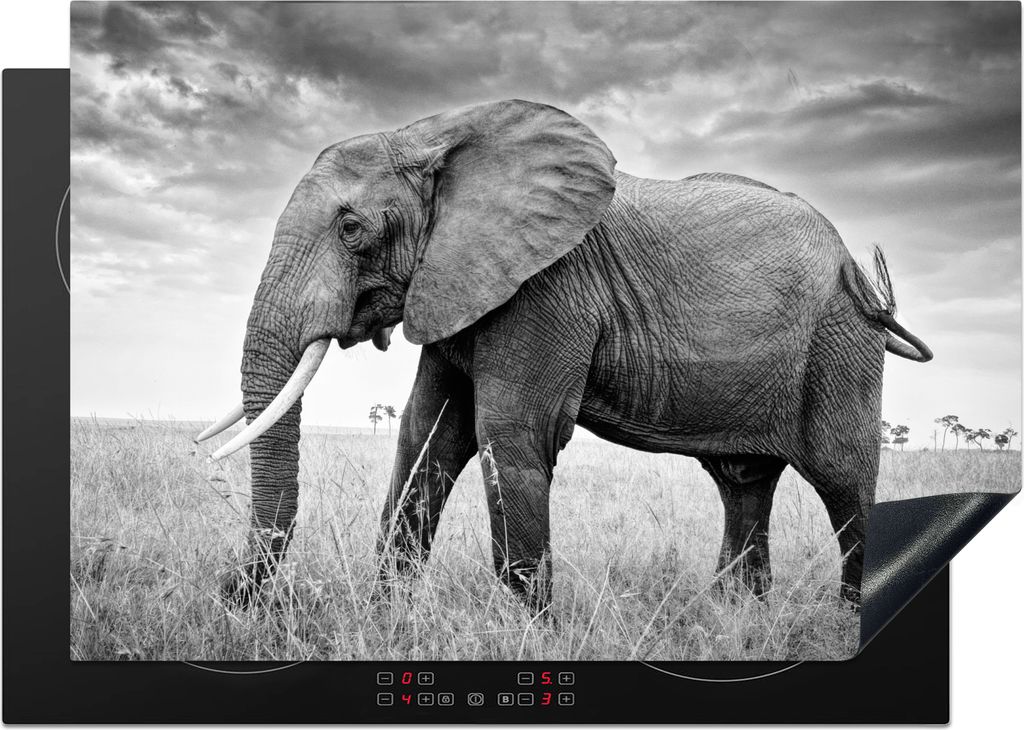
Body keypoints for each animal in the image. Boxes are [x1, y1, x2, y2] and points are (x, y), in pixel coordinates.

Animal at [196, 99, 932, 612]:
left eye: (351, 229)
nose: (234, 596)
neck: (433, 136)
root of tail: (858, 271)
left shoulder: (547, 287)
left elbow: (510, 433)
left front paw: (529, 632)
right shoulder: (458, 280)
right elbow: (427, 437)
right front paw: (387, 618)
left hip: (839, 343)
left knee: (843, 479)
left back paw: (844, 618)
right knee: (743, 481)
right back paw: (738, 616)